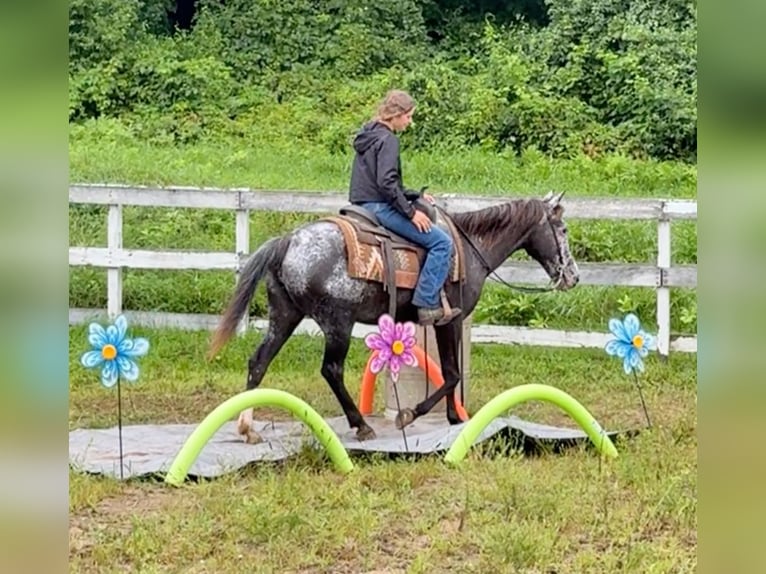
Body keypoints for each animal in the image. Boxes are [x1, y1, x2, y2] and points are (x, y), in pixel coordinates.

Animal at [210, 191, 584, 444]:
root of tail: (287, 241)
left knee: (259, 361)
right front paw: (411, 414)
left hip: (285, 315)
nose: (573, 277)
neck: (469, 247)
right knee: (331, 370)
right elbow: (452, 373)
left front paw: (453, 418)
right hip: (337, 323)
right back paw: (361, 426)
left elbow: (451, 372)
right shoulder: (449, 319)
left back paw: (247, 428)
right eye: (563, 229)